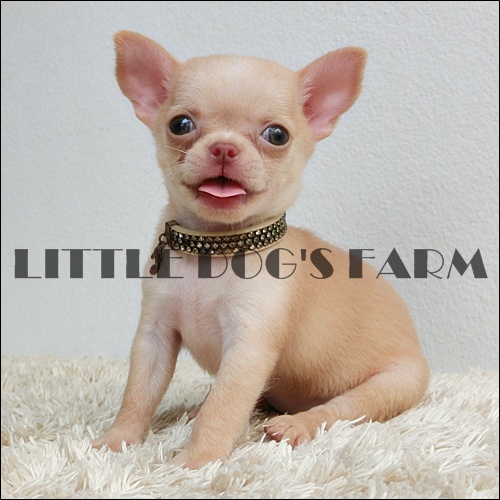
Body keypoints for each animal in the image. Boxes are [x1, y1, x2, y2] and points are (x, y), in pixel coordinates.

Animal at [91, 31, 429, 469]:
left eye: (277, 135)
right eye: (180, 125)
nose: (223, 147)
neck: (215, 248)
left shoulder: (248, 347)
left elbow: (224, 408)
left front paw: (196, 461)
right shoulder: (155, 335)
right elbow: (137, 395)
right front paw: (117, 441)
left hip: (389, 386)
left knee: (335, 412)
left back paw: (295, 425)